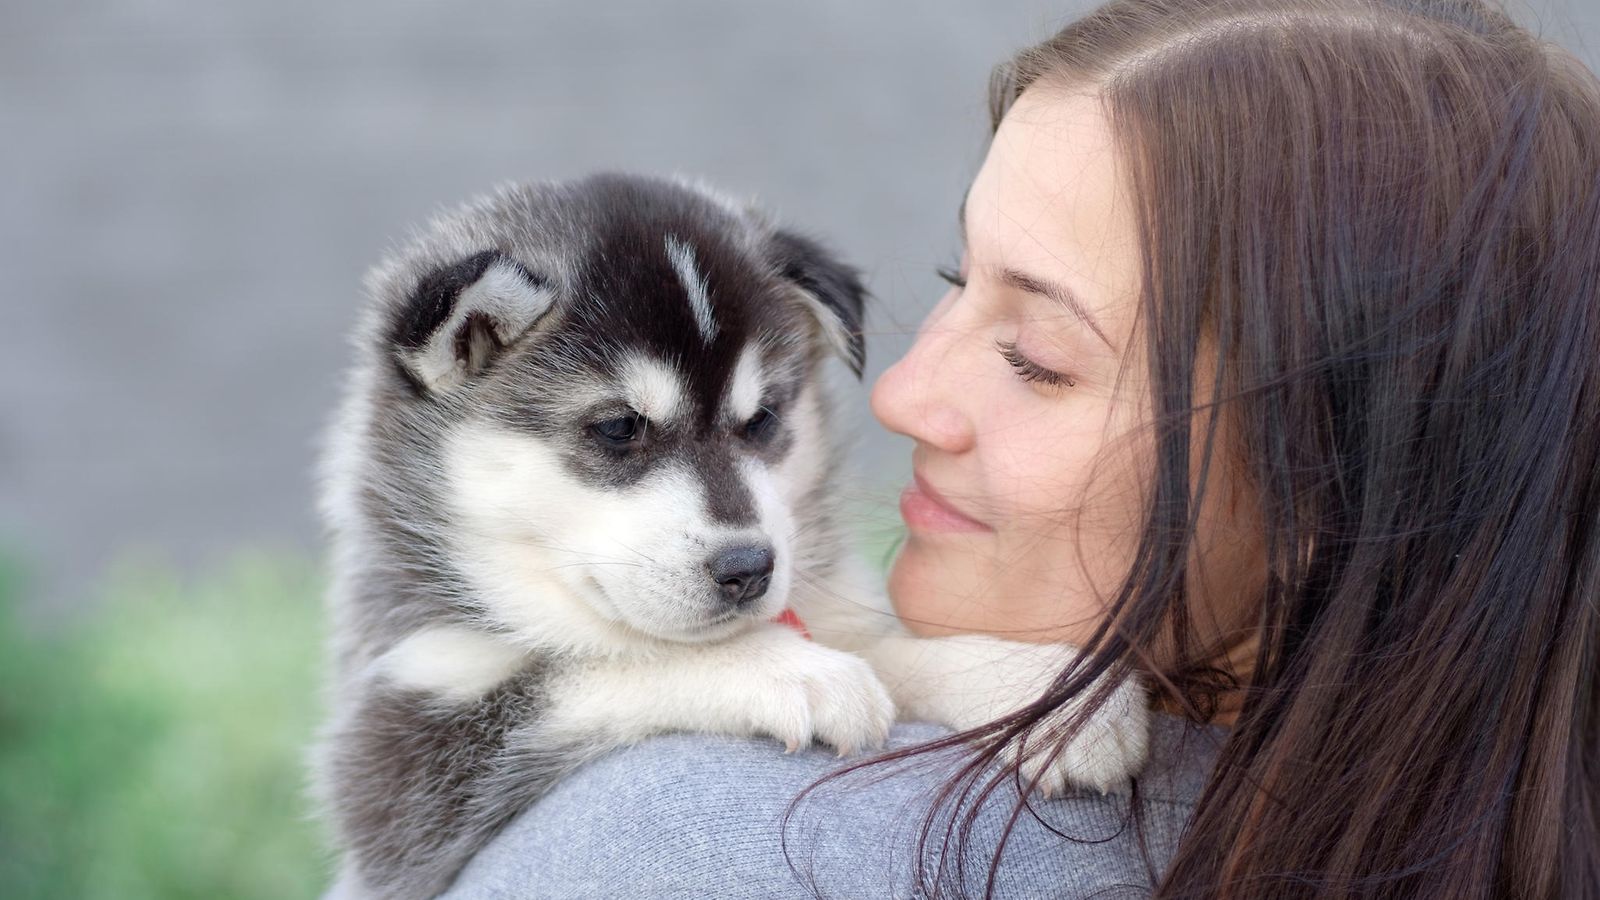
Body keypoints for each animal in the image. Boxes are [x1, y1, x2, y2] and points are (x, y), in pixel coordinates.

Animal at [312, 171, 1145, 890]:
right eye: (618, 428)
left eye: (764, 418)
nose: (748, 567)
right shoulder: (397, 755)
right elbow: (603, 665)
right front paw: (793, 671)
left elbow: (884, 648)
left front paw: (1041, 694)